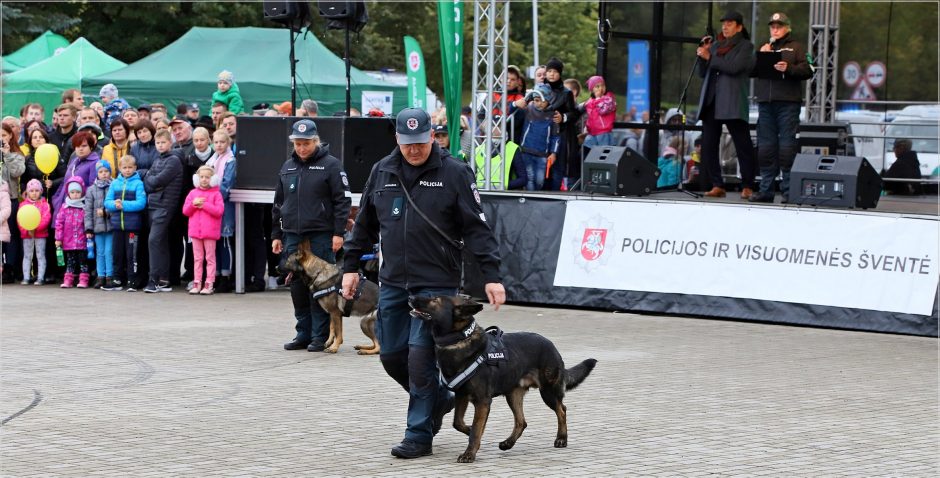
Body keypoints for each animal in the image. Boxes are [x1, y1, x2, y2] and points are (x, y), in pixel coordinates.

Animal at [272, 118, 352, 352]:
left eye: (286, 260)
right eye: (298, 145)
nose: (275, 268)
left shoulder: (334, 311)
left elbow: (333, 327)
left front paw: (324, 344)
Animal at [342, 106, 506, 458]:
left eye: (434, 298)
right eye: (408, 146)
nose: (412, 299)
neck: (414, 171)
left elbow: (419, 369)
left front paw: (419, 432)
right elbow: (365, 221)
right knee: (391, 354)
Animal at [410, 296, 600, 464]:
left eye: (435, 300)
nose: (411, 297)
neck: (460, 340)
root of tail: (551, 344)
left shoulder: (482, 402)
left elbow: (475, 431)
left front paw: (469, 453)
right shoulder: (461, 396)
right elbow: (458, 422)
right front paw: (469, 429)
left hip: (548, 392)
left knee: (562, 410)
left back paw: (561, 439)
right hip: (513, 396)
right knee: (522, 422)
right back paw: (508, 443)